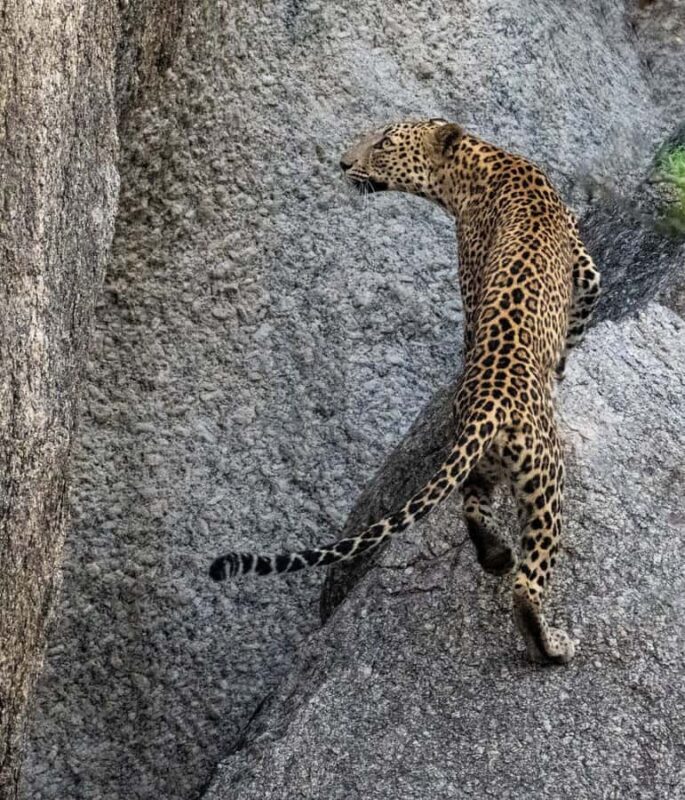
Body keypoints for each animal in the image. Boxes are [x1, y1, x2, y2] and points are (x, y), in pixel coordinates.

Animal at [209, 119, 601, 665]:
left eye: (382, 144)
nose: (342, 163)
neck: (477, 166)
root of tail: (488, 404)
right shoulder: (583, 268)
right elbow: (580, 321)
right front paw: (564, 368)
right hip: (545, 479)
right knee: (528, 578)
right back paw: (550, 643)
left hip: (482, 465)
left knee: (472, 506)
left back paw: (495, 555)